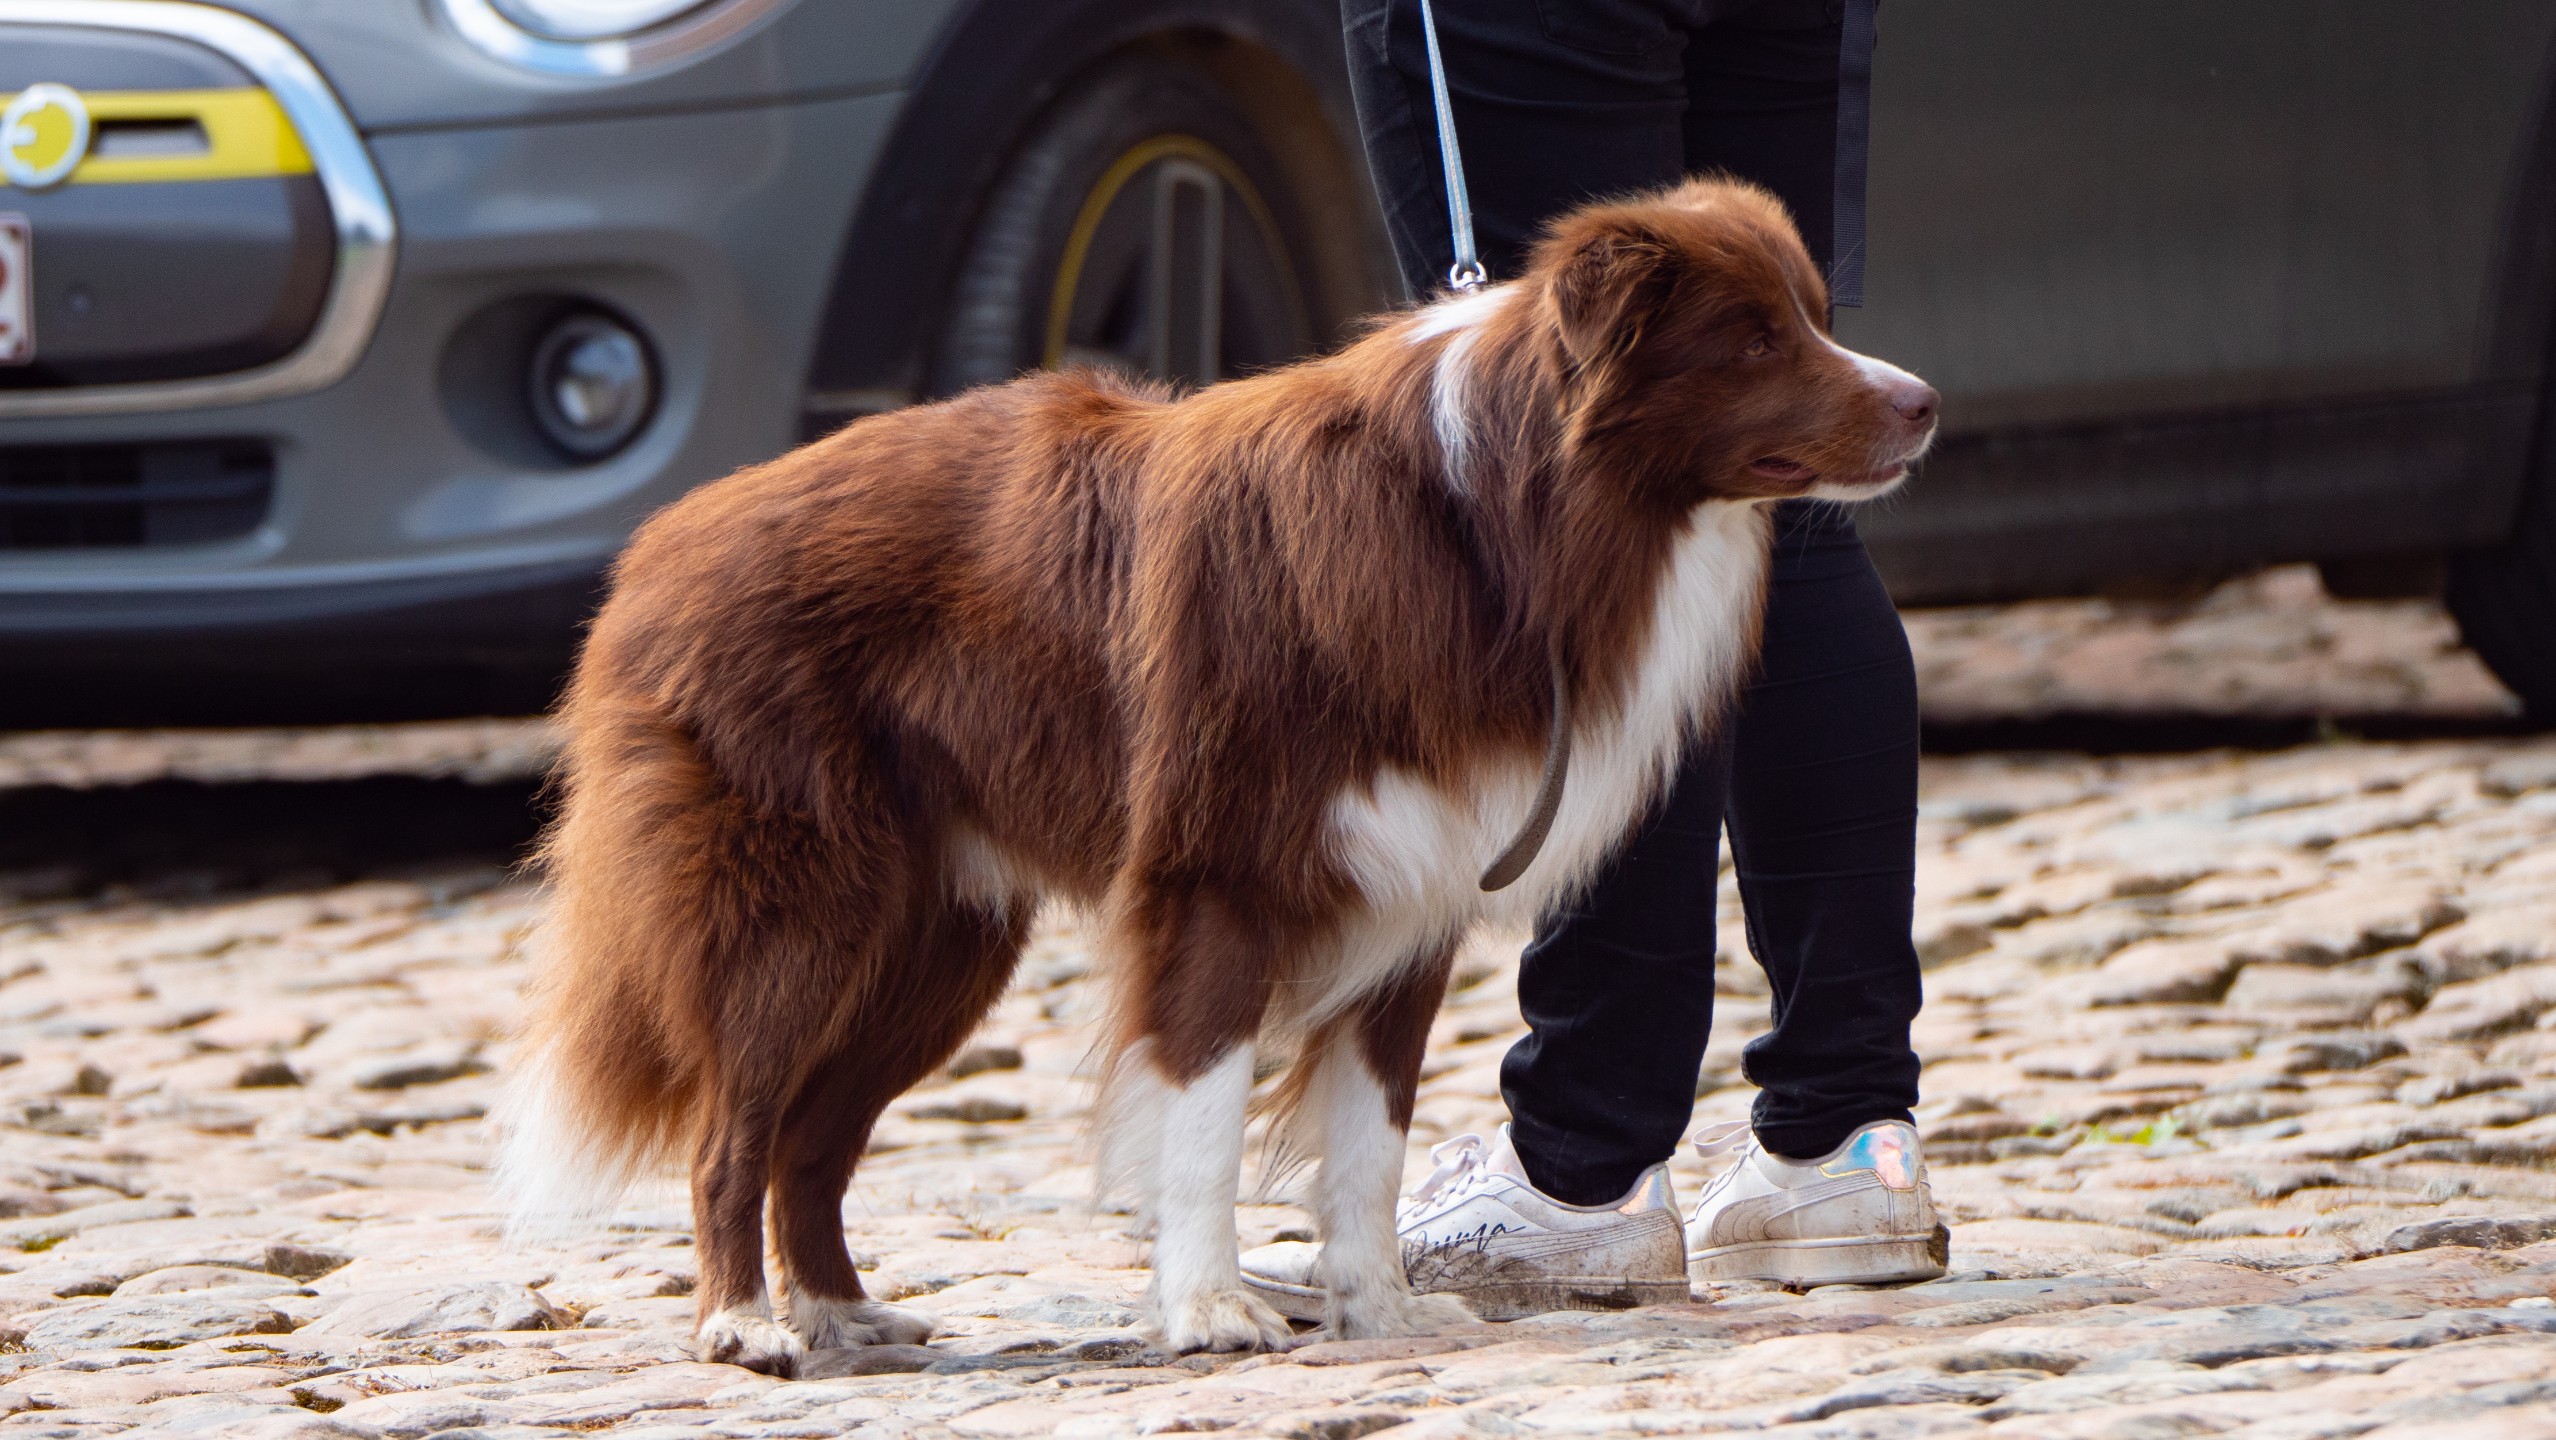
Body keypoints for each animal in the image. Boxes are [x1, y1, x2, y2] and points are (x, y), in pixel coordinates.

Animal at [501, 175, 1936, 1375]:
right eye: (1750, 339)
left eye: (1812, 317)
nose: (1923, 402)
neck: (1490, 524)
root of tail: (655, 551)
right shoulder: (1219, 879)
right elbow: (1202, 1116)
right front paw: (1209, 1308)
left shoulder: (1411, 893)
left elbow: (1367, 1141)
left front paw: (1379, 1309)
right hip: (801, 910)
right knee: (731, 1129)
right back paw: (746, 1325)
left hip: (939, 942)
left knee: (811, 1137)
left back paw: (844, 1311)